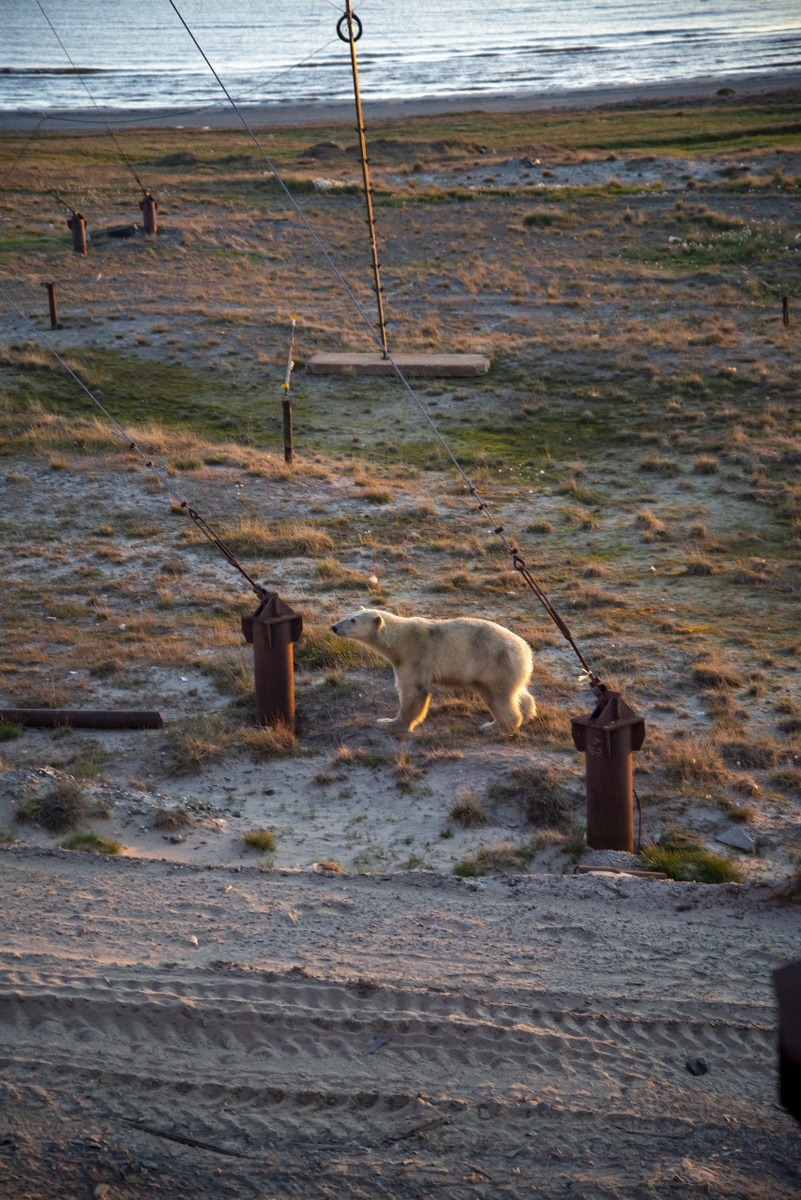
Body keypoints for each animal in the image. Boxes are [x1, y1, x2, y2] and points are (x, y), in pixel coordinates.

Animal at [330, 607, 536, 735]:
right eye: (348, 614)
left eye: (353, 620)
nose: (334, 627)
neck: (400, 640)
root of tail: (526, 651)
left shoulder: (414, 658)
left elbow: (412, 692)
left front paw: (389, 723)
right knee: (518, 693)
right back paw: (526, 714)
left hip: (495, 664)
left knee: (497, 697)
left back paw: (493, 727)